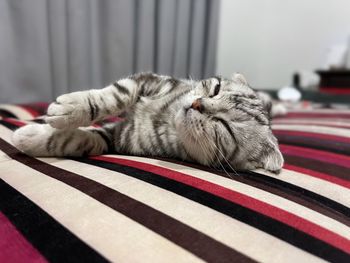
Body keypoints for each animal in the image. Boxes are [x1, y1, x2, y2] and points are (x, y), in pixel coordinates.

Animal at [12, 72, 284, 173]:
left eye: (224, 125)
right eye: (216, 89)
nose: (197, 104)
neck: (168, 120)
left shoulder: (120, 138)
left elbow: (81, 140)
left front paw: (27, 137)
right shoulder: (148, 81)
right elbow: (112, 97)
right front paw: (71, 107)